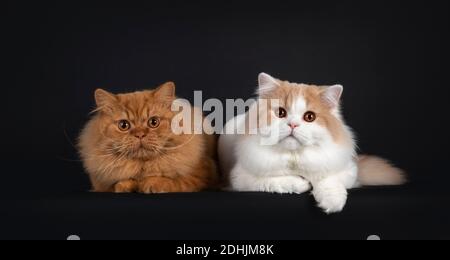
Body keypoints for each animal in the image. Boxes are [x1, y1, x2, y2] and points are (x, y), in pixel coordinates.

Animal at [78, 82, 219, 194]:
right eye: (123, 125)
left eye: (153, 122)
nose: (140, 134)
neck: (142, 167)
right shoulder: (101, 182)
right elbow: (119, 182)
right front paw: (126, 186)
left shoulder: (201, 174)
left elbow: (173, 181)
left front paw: (151, 184)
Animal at [220, 73, 406, 213]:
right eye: (281, 113)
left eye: (309, 117)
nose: (293, 125)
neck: (295, 156)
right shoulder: (240, 178)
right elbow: (275, 181)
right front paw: (301, 183)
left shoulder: (348, 171)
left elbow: (328, 180)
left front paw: (332, 203)